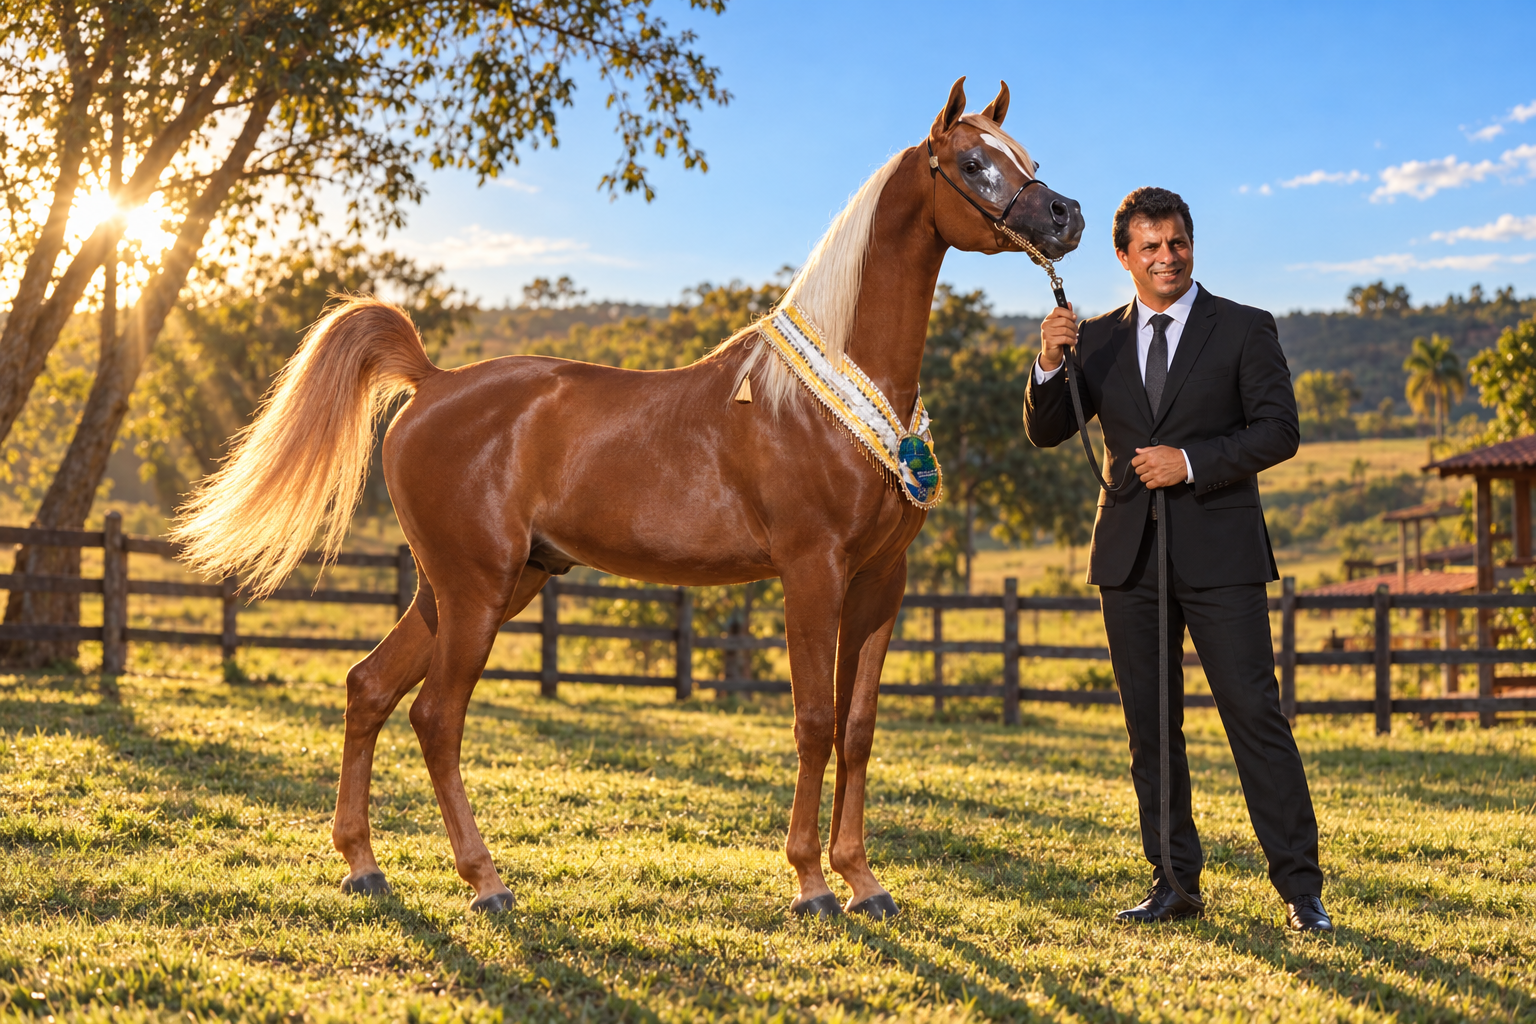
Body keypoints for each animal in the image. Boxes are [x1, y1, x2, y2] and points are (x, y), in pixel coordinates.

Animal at [173, 76, 1084, 918]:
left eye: (1024, 157)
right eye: (973, 164)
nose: (1067, 216)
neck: (829, 402)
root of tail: (431, 382)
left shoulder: (880, 583)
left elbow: (857, 730)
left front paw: (864, 881)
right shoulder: (811, 573)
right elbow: (813, 723)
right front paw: (812, 884)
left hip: (475, 584)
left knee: (369, 687)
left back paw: (364, 866)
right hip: (477, 588)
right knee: (436, 716)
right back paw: (486, 882)